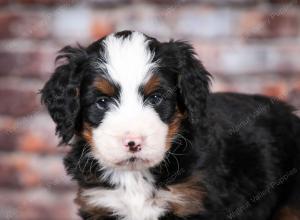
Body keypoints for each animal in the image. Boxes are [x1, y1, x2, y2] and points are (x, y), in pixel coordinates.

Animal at [40, 30, 300, 220]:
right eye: (102, 102)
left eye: (156, 98)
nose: (133, 142)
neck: (135, 177)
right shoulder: (101, 204)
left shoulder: (192, 204)